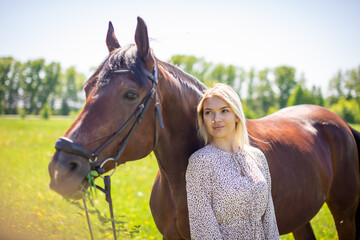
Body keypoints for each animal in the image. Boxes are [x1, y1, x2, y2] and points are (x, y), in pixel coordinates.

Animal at [47, 17, 360, 239]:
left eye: (130, 94)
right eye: (87, 88)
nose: (61, 168)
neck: (179, 182)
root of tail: (339, 123)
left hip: (345, 215)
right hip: (301, 216)